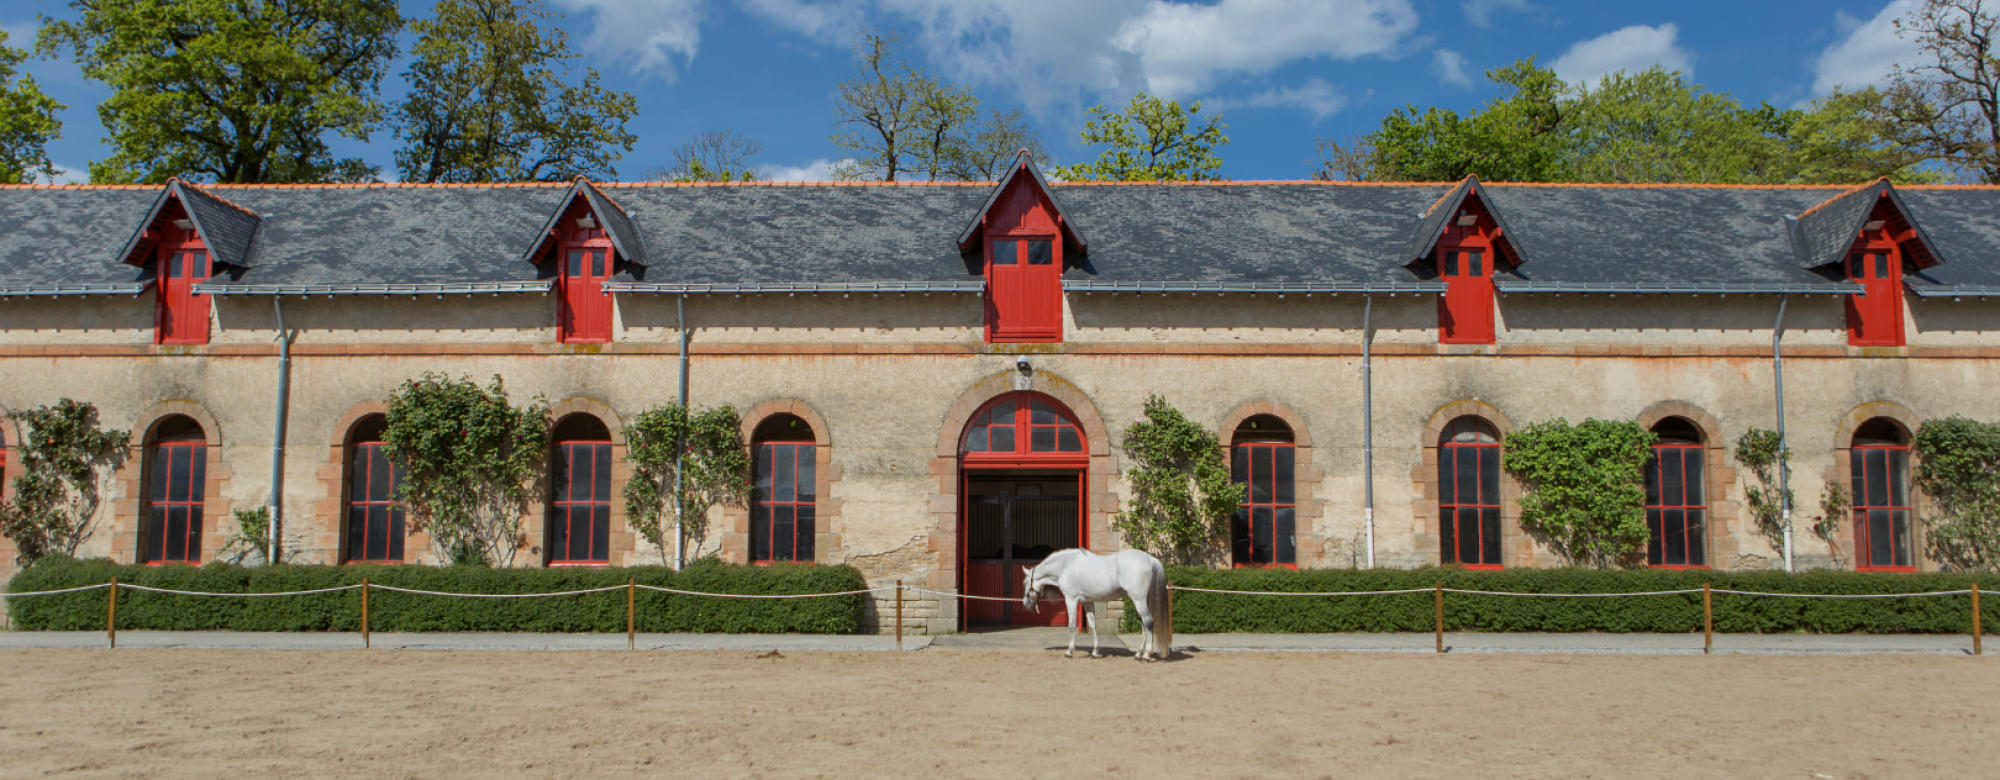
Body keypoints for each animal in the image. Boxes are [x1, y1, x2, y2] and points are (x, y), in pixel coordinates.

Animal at [1016, 548, 1168, 660]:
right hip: (1143, 600)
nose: (1025, 604)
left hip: (1138, 599)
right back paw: (1138, 654)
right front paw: (1095, 652)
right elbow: (1093, 625)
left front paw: (1069, 652)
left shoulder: (1071, 600)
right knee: (1144, 624)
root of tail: (1150, 559)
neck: (1066, 565)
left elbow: (1072, 625)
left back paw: (1146, 655)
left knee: (1148, 622)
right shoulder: (1087, 601)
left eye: (1024, 583)